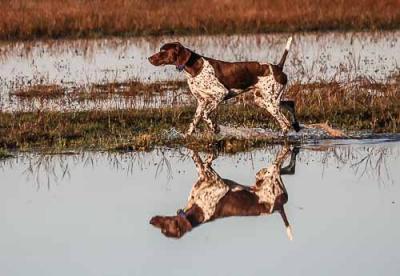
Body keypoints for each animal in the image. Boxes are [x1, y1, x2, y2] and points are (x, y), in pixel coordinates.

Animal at [148, 37, 298, 136]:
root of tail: (278, 67)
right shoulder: (201, 102)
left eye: (163, 51)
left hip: (270, 102)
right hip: (264, 101)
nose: (148, 58)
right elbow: (194, 122)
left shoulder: (220, 94)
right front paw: (188, 137)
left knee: (285, 124)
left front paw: (215, 128)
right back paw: (296, 126)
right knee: (290, 104)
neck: (194, 68)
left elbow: (205, 115)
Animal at [149, 144, 296, 239]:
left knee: (283, 156)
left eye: (164, 229)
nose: (151, 220)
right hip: (261, 175)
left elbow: (198, 159)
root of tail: (279, 204)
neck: (198, 212)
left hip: (269, 171)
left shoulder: (219, 183)